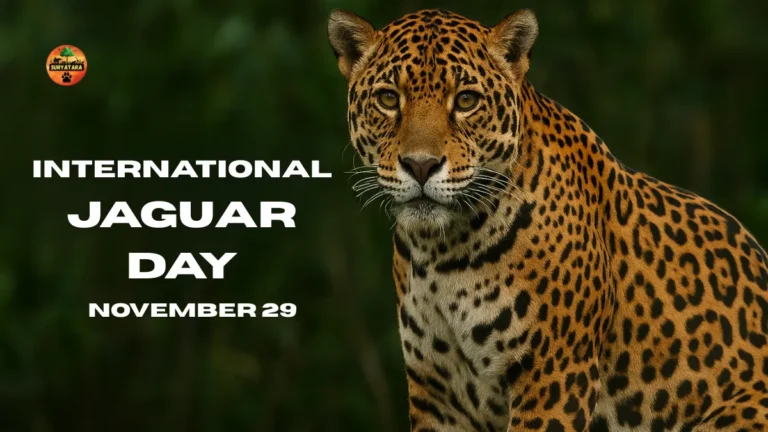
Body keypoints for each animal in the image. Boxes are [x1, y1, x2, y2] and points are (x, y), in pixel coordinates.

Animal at [327, 8, 768, 432]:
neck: (444, 250)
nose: (420, 165)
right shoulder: (437, 394)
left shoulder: (554, 376)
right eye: (388, 98)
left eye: (466, 101)